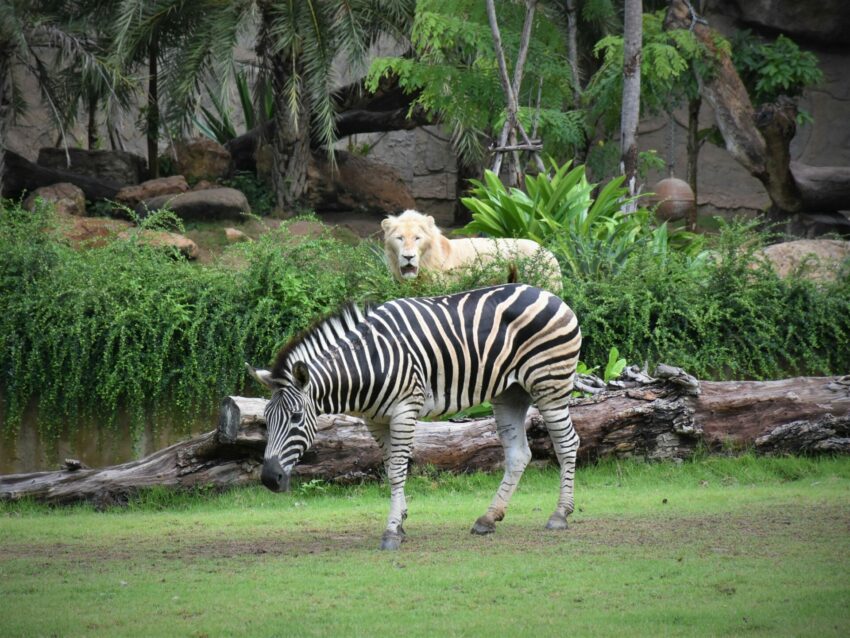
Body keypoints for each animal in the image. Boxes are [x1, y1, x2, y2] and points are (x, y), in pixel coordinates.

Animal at [245, 282, 576, 552]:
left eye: (296, 417)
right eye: (266, 420)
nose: (269, 479)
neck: (369, 362)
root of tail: (547, 293)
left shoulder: (405, 409)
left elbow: (398, 470)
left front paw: (392, 531)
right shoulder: (375, 420)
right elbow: (392, 467)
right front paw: (401, 521)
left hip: (550, 384)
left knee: (567, 443)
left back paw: (560, 514)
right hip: (510, 392)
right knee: (519, 454)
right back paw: (488, 518)